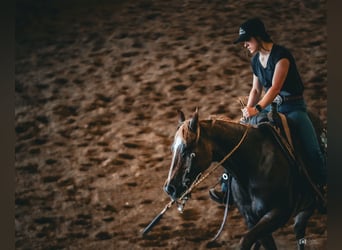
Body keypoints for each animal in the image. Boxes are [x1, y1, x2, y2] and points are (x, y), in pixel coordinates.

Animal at [163, 109, 324, 250]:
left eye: (186, 149)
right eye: (172, 149)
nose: (169, 188)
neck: (254, 164)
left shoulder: (279, 212)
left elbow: (245, 241)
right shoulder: (251, 220)